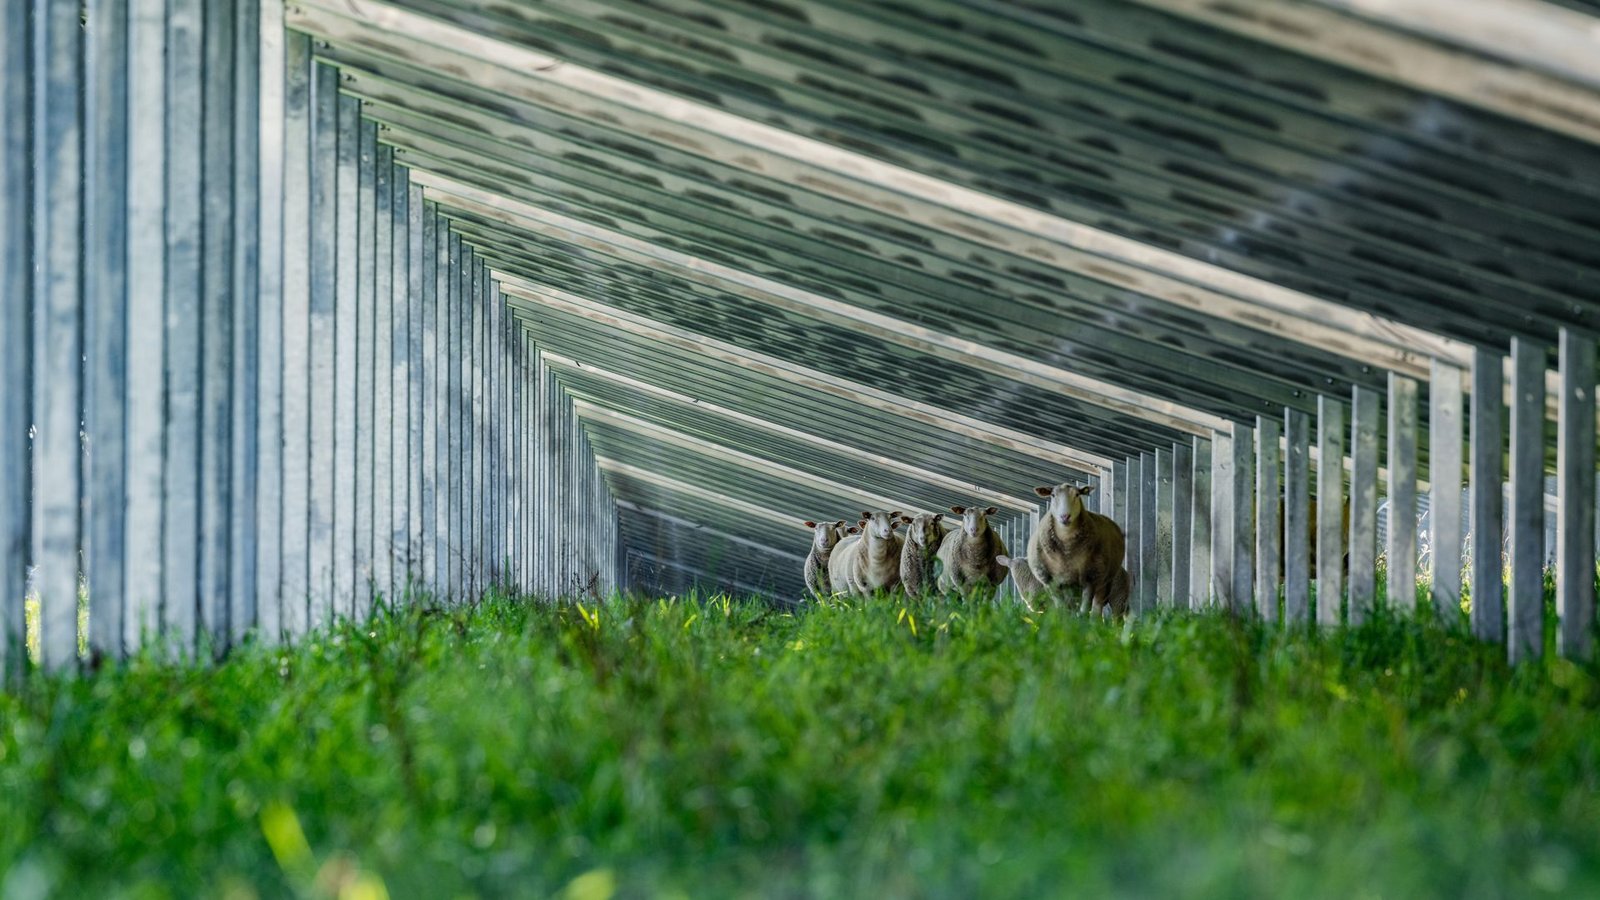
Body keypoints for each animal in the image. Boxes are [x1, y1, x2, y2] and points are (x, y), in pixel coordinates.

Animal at [1027, 483, 1130, 616]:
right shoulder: (1049, 581)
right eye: (1053, 495)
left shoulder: (1091, 578)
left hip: (1105, 580)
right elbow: (1062, 609)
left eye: (1077, 494)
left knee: (1097, 606)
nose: (1065, 516)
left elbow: (1084, 610)